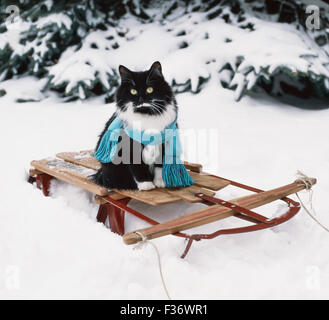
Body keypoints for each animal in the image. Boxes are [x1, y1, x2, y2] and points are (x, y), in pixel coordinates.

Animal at [92, 61, 179, 191]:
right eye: (133, 91)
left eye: (149, 89)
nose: (141, 98)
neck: (146, 114)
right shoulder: (130, 145)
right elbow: (138, 167)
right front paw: (146, 185)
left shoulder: (164, 142)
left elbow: (160, 166)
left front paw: (160, 182)